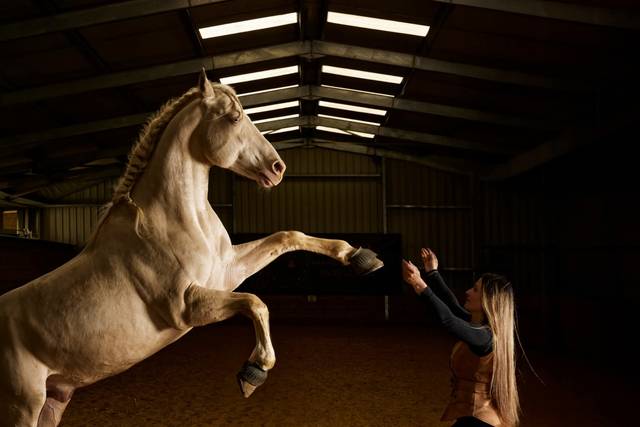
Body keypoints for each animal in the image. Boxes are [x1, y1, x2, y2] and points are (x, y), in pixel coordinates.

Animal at [0, 69, 383, 427]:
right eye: (234, 118)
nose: (278, 168)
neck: (174, 219)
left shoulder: (226, 273)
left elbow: (287, 237)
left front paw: (361, 257)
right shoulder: (186, 306)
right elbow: (255, 303)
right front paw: (253, 372)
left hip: (53, 402)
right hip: (22, 407)